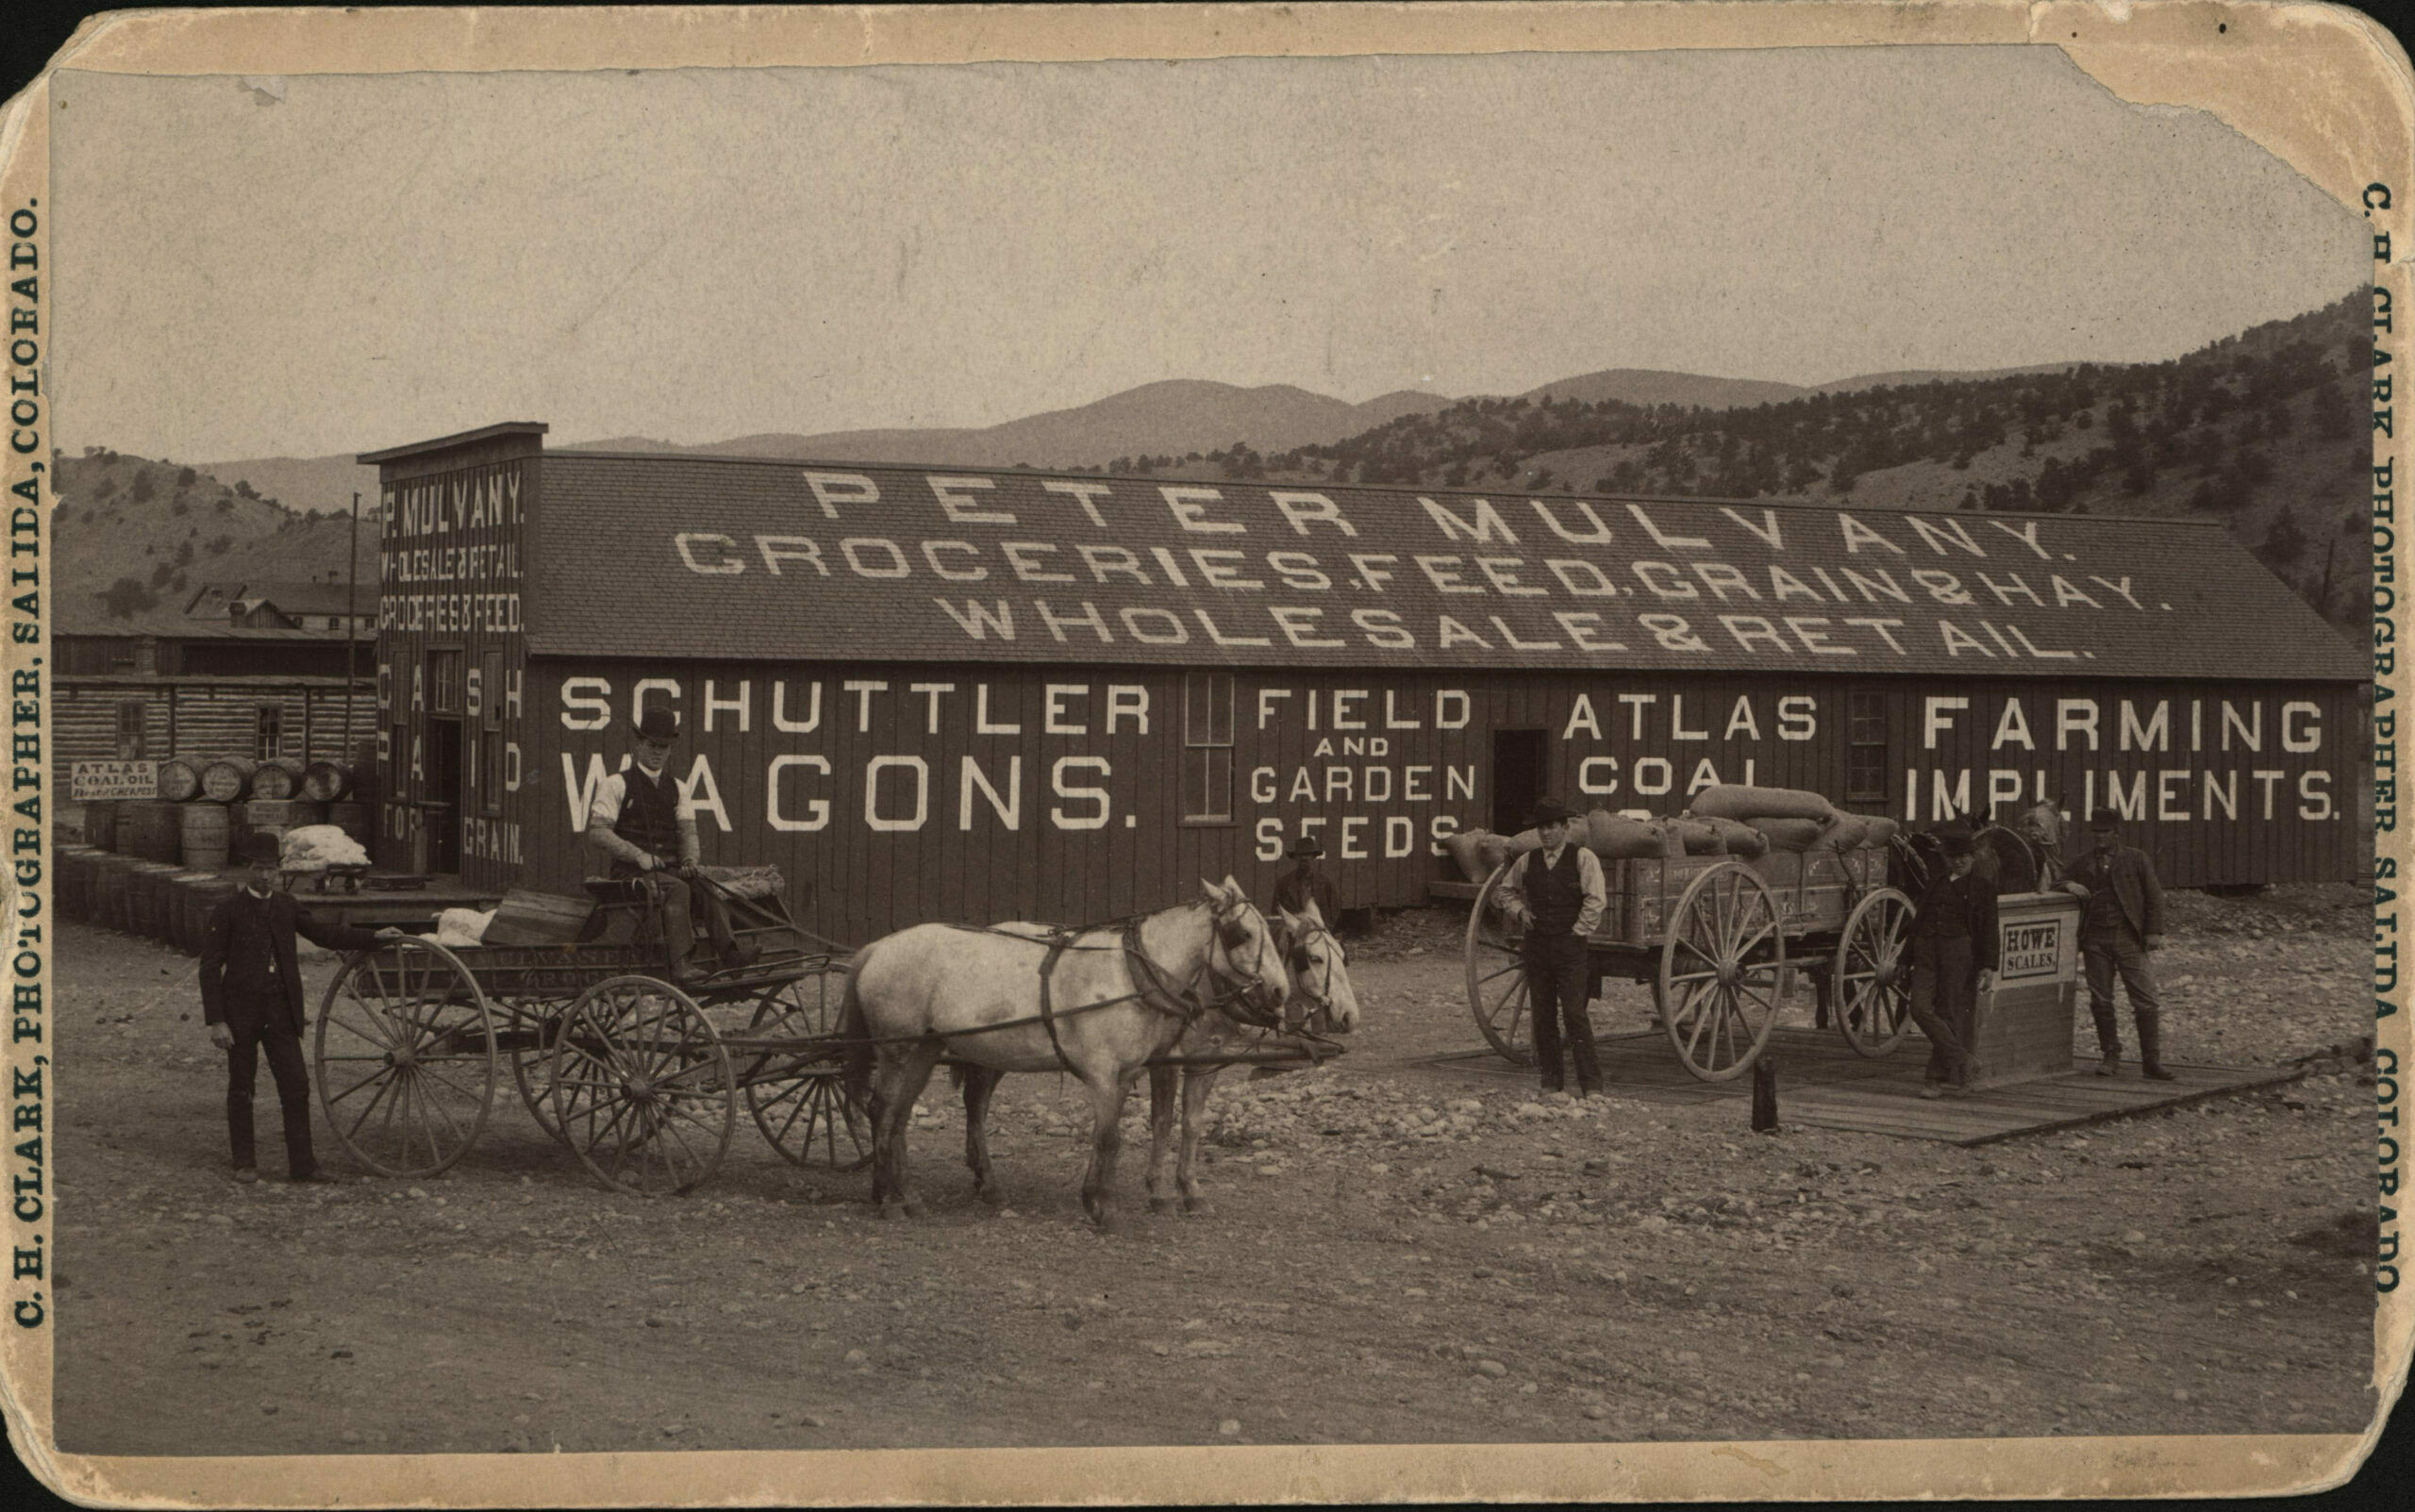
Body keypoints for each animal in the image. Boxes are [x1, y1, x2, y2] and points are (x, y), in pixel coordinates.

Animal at [840, 869, 1294, 1226]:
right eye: (1242, 934)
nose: (1280, 991)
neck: (1128, 975)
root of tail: (876, 948)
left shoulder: (1129, 1072)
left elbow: (1121, 1134)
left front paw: (1099, 1196)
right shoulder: (1108, 1071)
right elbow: (1112, 1137)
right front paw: (1107, 1207)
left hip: (926, 1050)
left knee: (903, 1116)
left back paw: (909, 1196)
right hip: (898, 1049)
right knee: (883, 1111)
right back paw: (891, 1200)